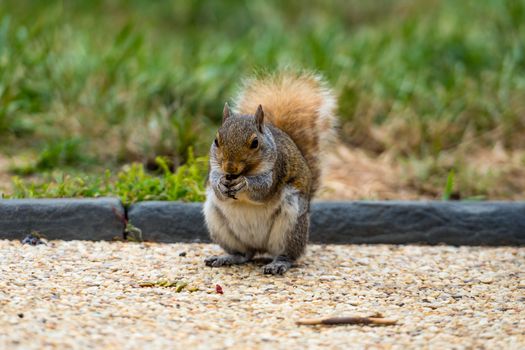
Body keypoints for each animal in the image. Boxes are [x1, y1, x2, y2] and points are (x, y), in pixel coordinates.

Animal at [202, 72, 336, 274]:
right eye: (216, 141)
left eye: (255, 143)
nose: (230, 168)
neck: (246, 171)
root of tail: (260, 247)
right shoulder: (215, 168)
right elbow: (216, 183)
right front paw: (221, 184)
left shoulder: (276, 171)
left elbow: (263, 190)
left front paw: (244, 183)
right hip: (219, 224)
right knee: (244, 254)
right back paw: (227, 257)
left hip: (291, 225)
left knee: (287, 254)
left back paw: (279, 263)